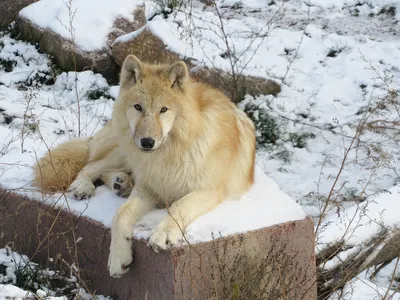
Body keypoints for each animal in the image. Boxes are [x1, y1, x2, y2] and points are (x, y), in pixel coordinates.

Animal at [32, 54, 255, 276]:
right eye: (138, 107)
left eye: (163, 110)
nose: (147, 142)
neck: (169, 153)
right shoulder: (148, 187)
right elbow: (121, 214)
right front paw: (118, 258)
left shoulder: (209, 190)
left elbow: (178, 206)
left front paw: (162, 234)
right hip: (124, 148)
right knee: (91, 165)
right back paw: (88, 186)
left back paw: (120, 183)